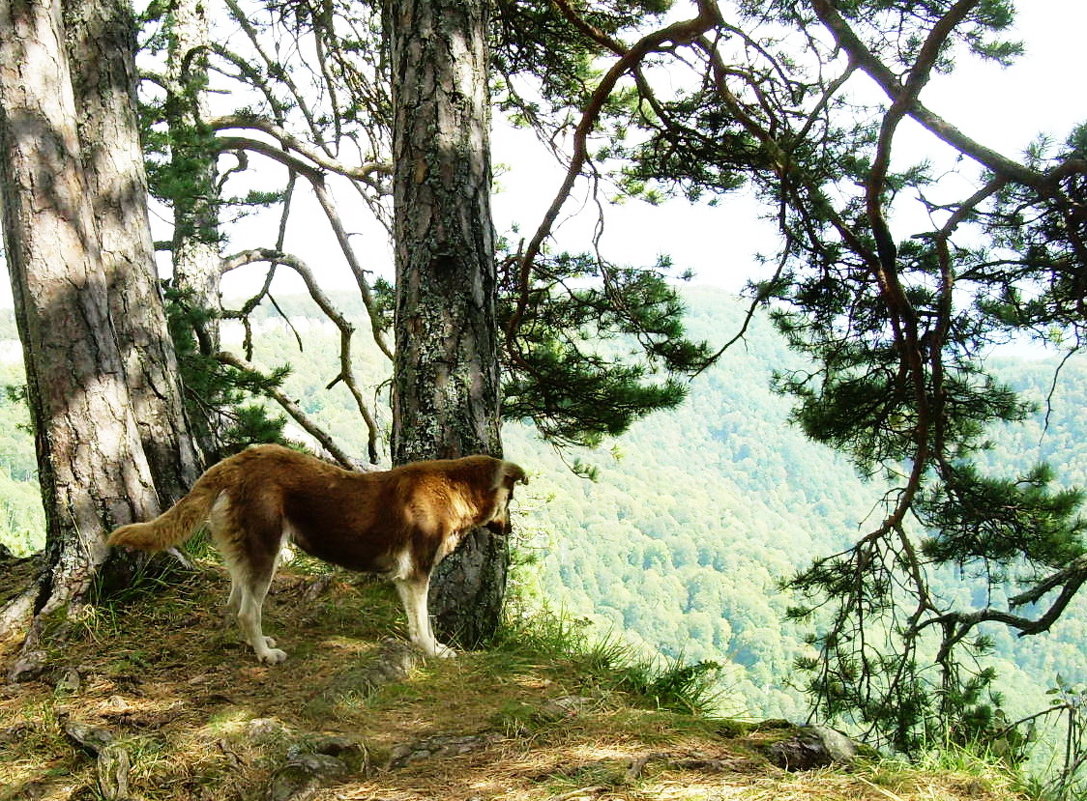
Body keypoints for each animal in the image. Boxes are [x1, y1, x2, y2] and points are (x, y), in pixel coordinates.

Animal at [109, 443, 526, 660]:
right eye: (511, 498)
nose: (508, 530)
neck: (457, 489)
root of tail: (239, 460)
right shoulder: (415, 574)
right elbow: (422, 621)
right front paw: (432, 650)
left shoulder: (409, 579)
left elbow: (419, 620)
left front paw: (432, 647)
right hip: (265, 551)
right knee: (247, 610)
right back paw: (265, 654)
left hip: (246, 553)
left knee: (234, 604)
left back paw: (256, 643)